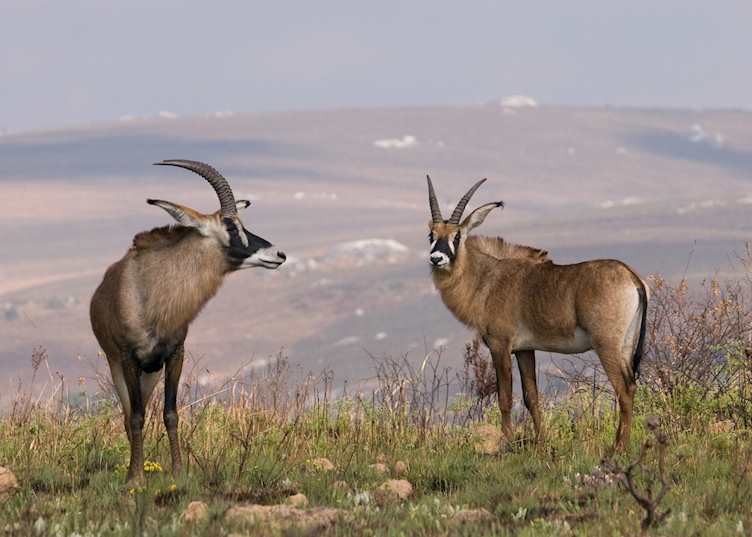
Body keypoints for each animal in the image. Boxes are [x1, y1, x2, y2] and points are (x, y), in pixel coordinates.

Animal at [90, 160, 286, 484]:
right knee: (129, 412)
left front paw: (178, 472)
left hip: (151, 372)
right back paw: (135, 469)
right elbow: (137, 416)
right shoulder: (129, 358)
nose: (278, 254)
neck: (152, 293)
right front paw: (135, 478)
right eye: (230, 226)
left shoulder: (174, 354)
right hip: (118, 365)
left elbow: (171, 413)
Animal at [426, 176, 648, 452]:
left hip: (607, 345)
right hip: (626, 346)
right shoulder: (524, 349)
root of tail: (632, 277)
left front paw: (506, 444)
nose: (437, 258)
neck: (487, 278)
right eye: (431, 234)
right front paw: (541, 442)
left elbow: (505, 397)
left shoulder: (500, 346)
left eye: (457, 236)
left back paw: (619, 448)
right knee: (631, 386)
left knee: (624, 390)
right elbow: (531, 397)